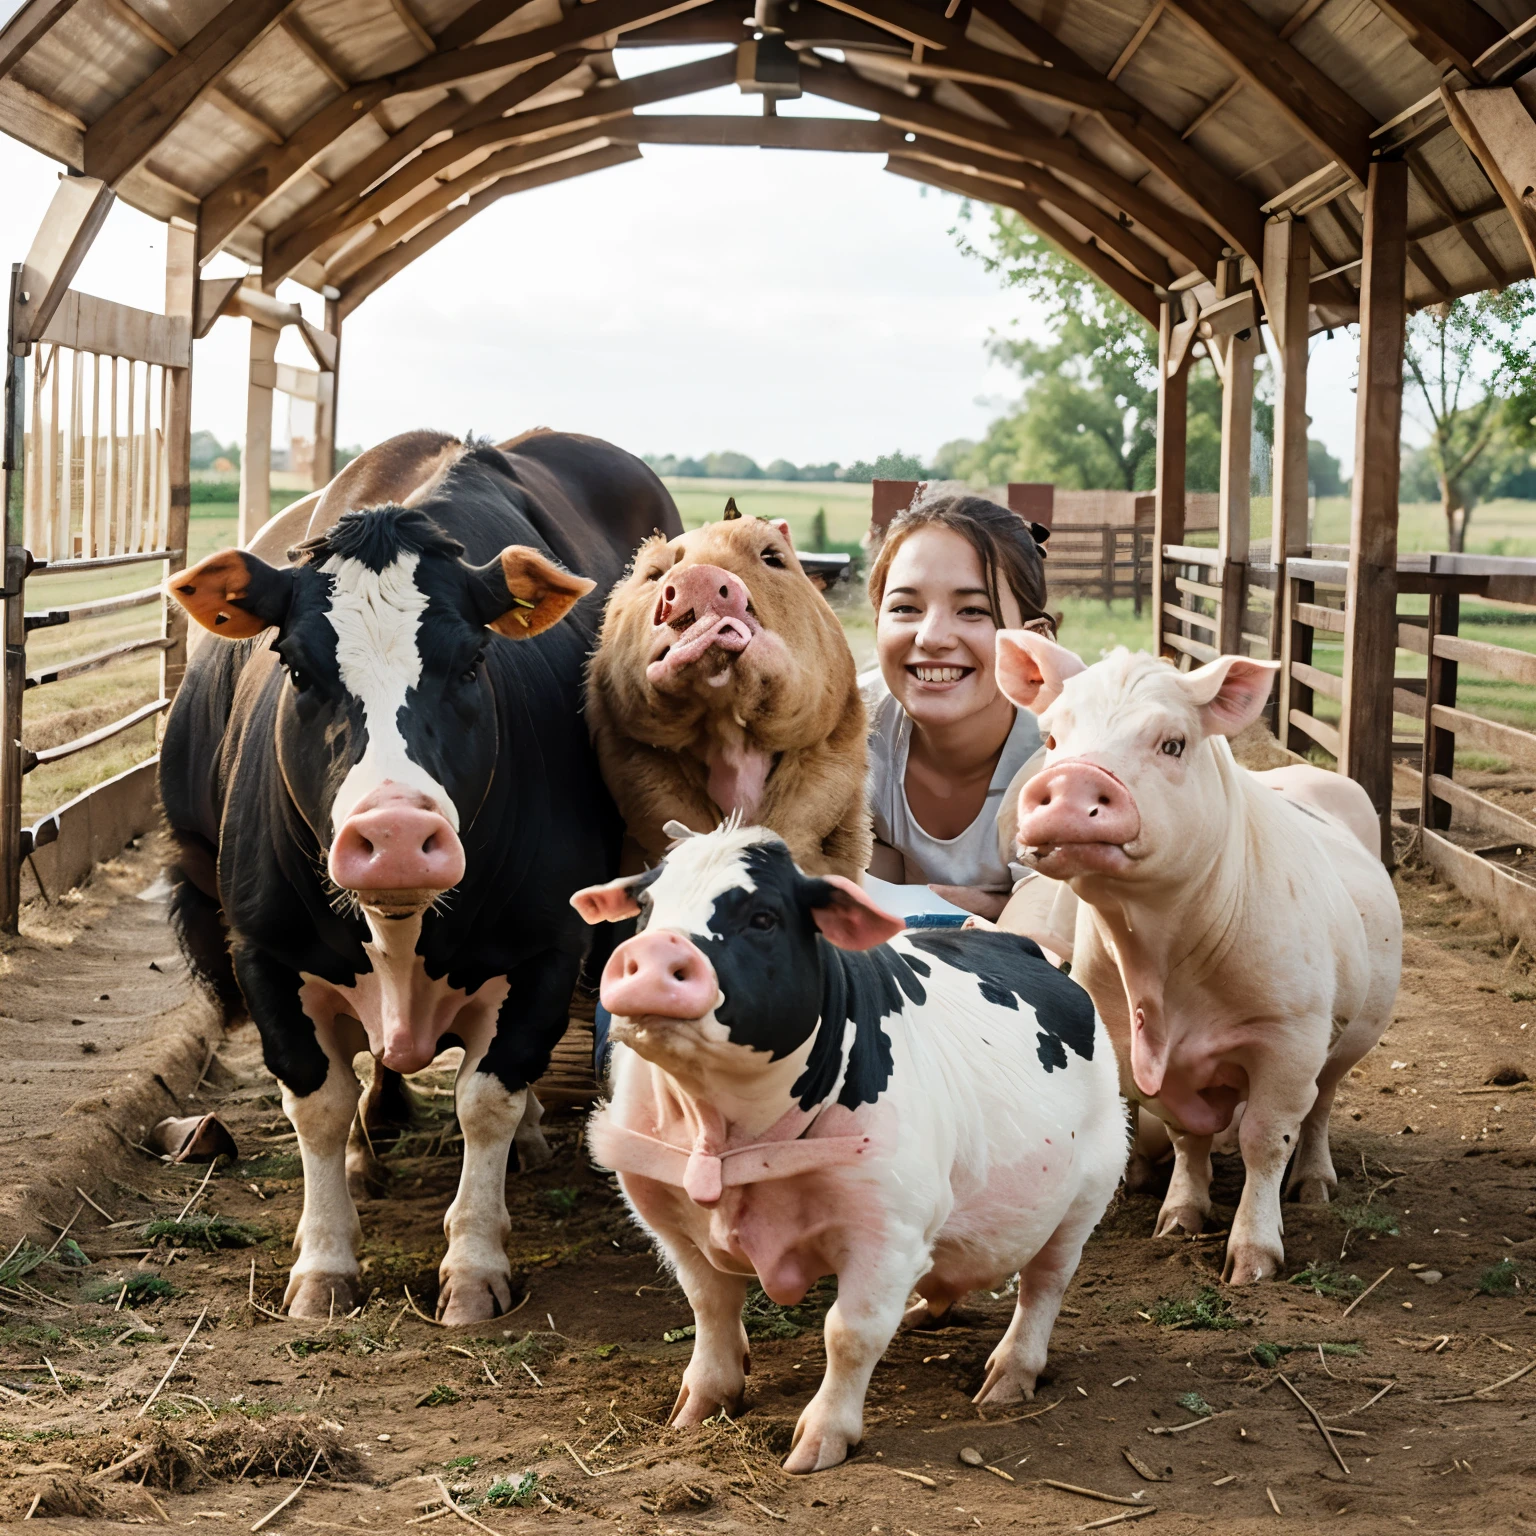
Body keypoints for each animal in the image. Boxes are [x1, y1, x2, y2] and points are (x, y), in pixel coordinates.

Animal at [160, 433, 678, 1320]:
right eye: (297, 669)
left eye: (471, 664)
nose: (397, 834)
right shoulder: (262, 950)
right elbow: (318, 1100)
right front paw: (325, 1260)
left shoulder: (544, 949)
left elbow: (488, 1097)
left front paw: (473, 1262)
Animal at [571, 829, 1124, 1474]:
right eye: (647, 908)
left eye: (765, 917)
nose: (656, 947)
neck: (723, 1135)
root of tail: (1017, 944)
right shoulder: (669, 1218)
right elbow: (709, 1306)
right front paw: (696, 1409)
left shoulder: (887, 1227)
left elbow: (850, 1332)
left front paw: (817, 1443)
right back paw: (924, 1311)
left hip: (1088, 1190)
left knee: (1045, 1282)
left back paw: (1007, 1379)